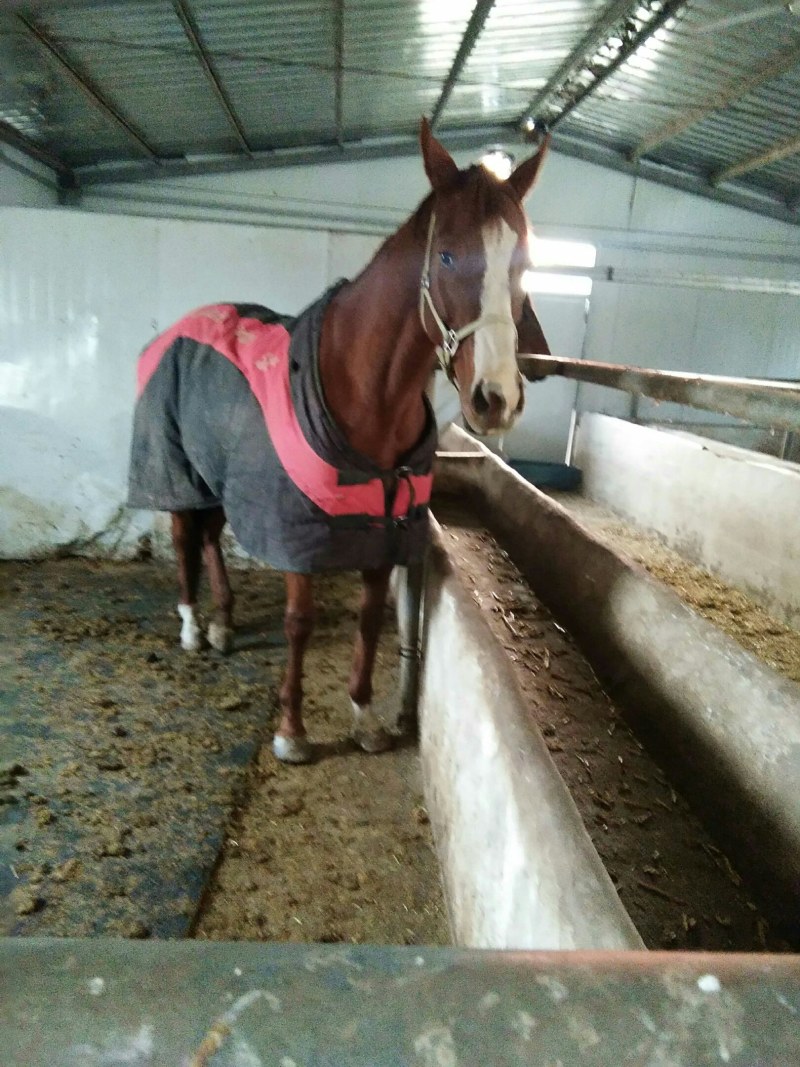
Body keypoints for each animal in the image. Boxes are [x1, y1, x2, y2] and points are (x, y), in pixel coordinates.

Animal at [127, 118, 550, 764]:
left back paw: (223, 623)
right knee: (183, 539)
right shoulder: (299, 528)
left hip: (220, 478)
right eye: (448, 254)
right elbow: (299, 621)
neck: (367, 391)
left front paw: (365, 718)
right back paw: (193, 627)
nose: (496, 398)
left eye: (523, 265)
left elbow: (371, 618)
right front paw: (292, 731)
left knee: (211, 538)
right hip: (181, 474)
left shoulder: (384, 528)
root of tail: (176, 330)